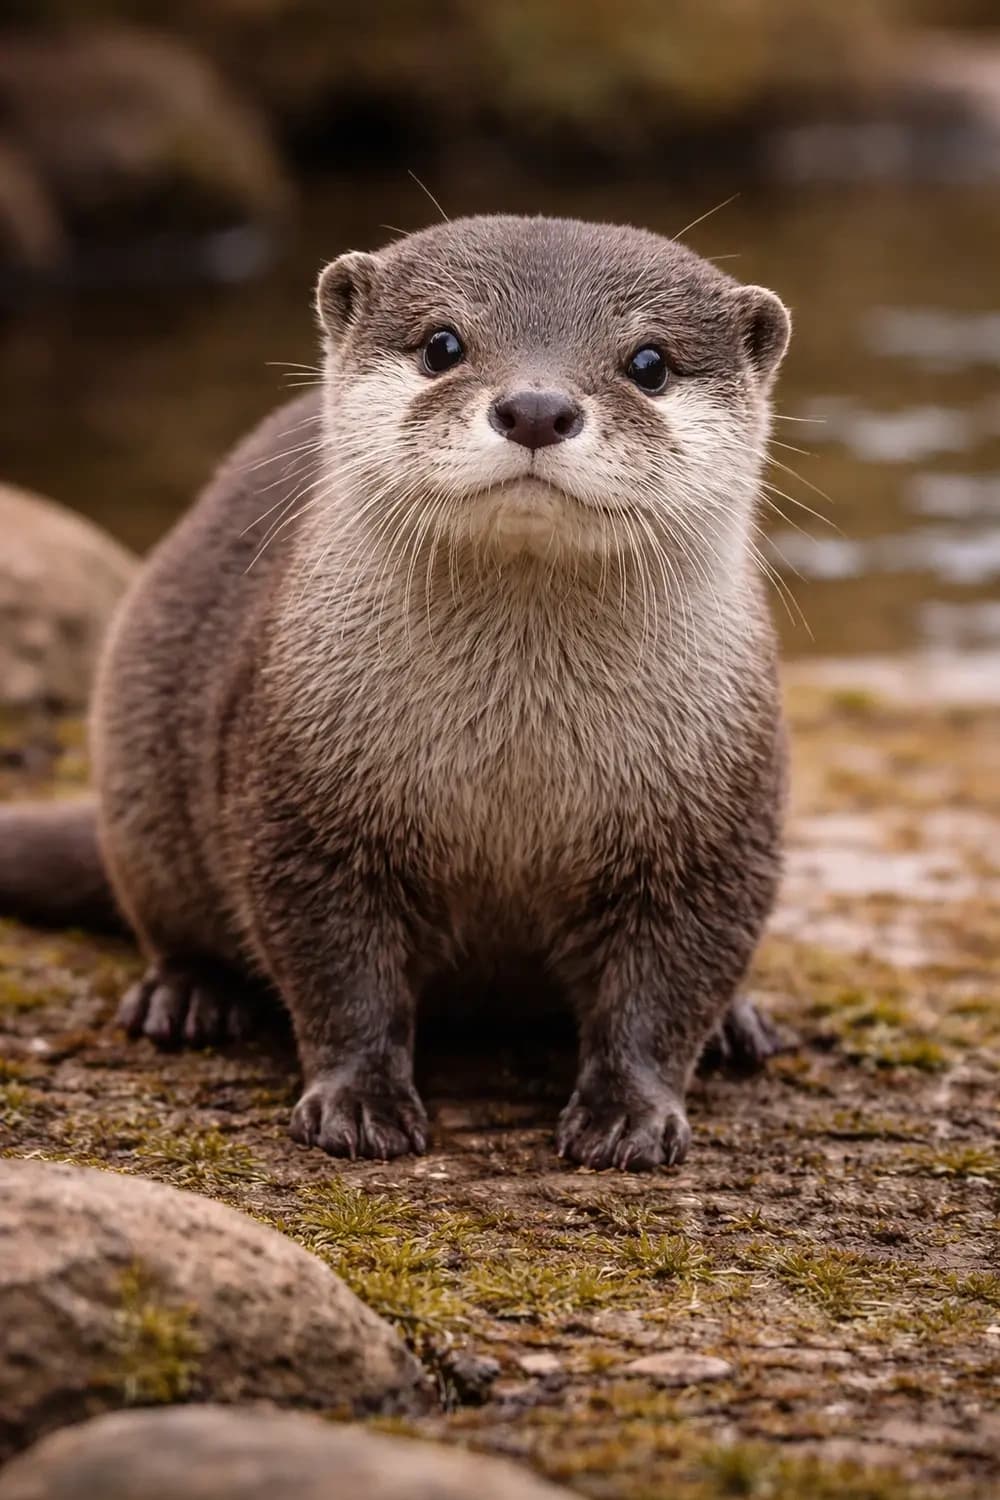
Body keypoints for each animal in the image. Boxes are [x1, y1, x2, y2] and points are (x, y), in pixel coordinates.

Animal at [1, 215, 791, 1170]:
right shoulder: (304, 807)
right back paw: (186, 998)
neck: (518, 774)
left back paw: (742, 1025)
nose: (535, 407)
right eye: (442, 345)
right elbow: (338, 973)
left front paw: (630, 1118)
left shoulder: (714, 827)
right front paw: (359, 1105)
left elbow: (669, 990)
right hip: (138, 775)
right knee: (165, 915)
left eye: (649, 362)